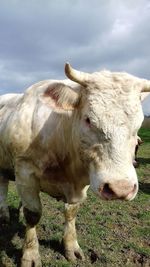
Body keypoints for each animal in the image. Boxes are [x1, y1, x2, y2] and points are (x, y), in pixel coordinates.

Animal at [0, 63, 150, 266]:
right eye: (88, 119)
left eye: (139, 123)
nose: (120, 188)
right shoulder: (25, 171)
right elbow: (33, 214)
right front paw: (30, 255)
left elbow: (71, 212)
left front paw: (71, 247)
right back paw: (4, 215)